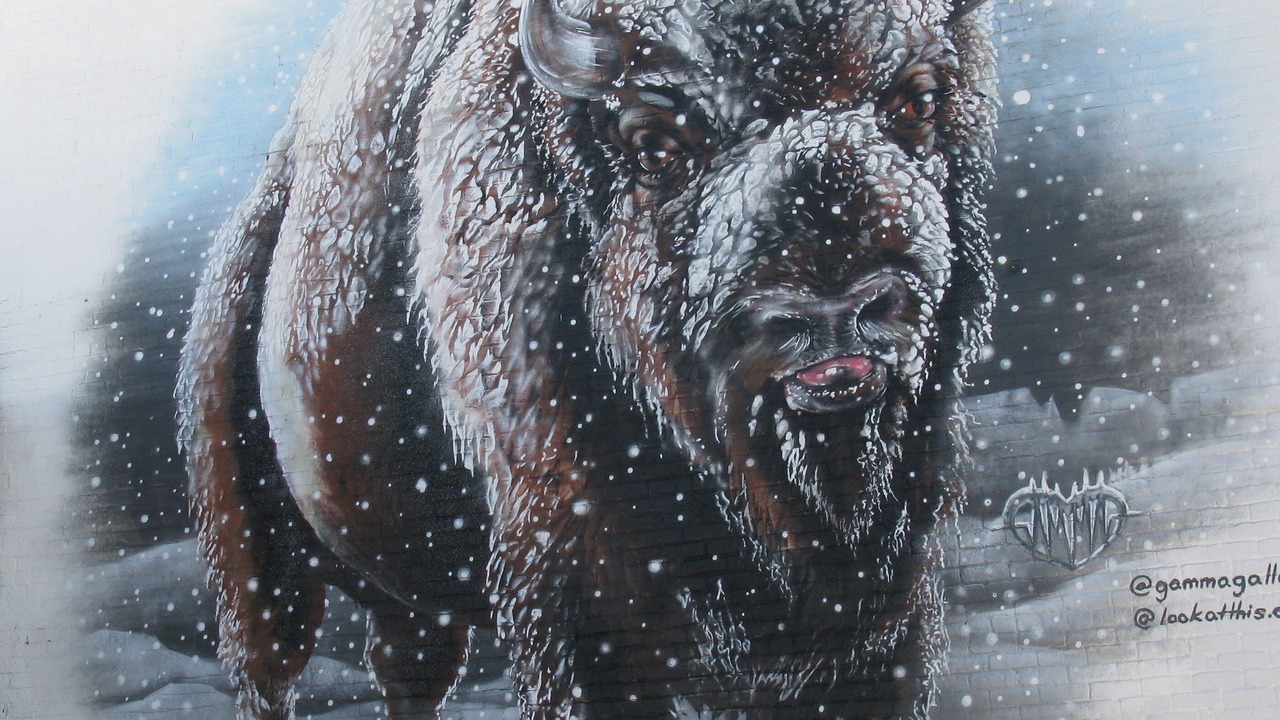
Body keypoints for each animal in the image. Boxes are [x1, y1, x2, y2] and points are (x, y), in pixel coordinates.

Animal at [177, 0, 998, 717]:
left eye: (920, 99)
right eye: (656, 143)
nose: (834, 315)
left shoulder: (883, 614)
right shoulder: (573, 601)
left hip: (408, 600)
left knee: (408, 669)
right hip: (260, 572)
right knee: (269, 670)